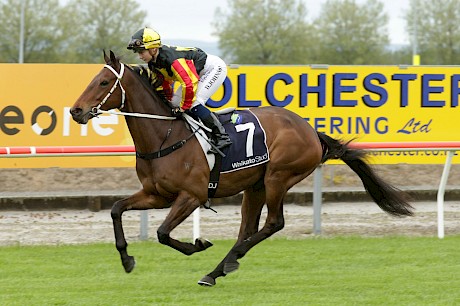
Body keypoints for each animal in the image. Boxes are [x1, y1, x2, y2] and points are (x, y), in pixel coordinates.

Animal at [69, 50, 414, 286]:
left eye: (103, 82)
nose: (76, 111)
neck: (164, 134)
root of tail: (310, 130)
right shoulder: (156, 195)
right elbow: (116, 209)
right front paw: (127, 259)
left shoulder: (191, 196)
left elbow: (163, 233)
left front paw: (198, 244)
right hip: (255, 185)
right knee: (247, 229)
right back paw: (217, 270)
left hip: (278, 177)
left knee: (273, 223)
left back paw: (227, 262)